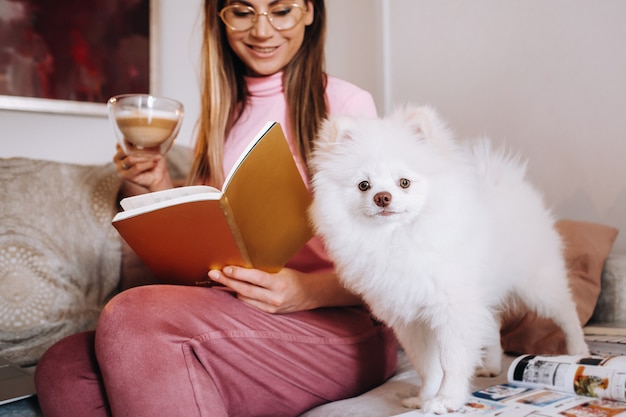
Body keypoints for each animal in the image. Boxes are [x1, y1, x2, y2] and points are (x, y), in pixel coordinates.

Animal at [310, 106, 588, 412]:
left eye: (404, 183)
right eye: (363, 185)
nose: (382, 197)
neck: (398, 237)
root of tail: (504, 178)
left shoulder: (452, 308)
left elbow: (452, 360)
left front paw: (447, 399)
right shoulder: (411, 320)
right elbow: (427, 365)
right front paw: (425, 397)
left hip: (537, 283)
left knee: (566, 311)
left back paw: (578, 351)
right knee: (492, 324)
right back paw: (491, 365)